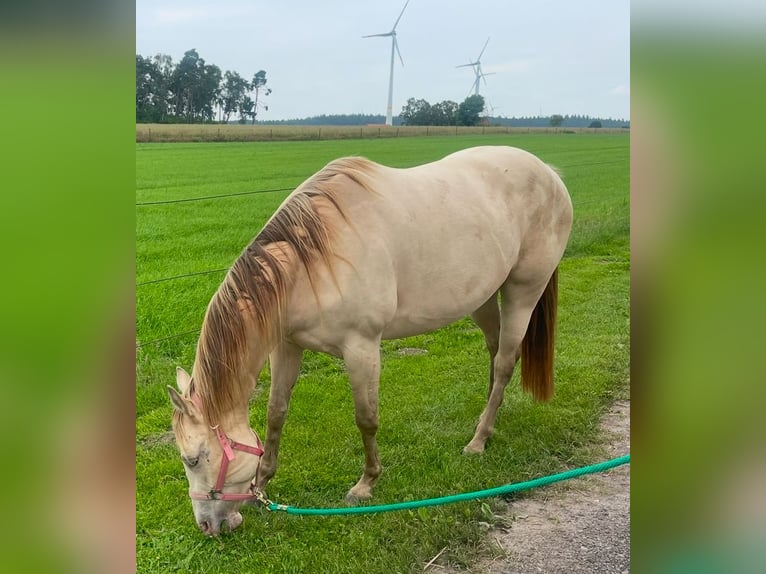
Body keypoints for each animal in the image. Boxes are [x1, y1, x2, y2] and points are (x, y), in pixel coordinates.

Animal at [167, 145, 573, 536]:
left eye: (193, 458)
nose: (207, 526)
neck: (312, 263)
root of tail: (550, 173)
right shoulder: (287, 347)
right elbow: (275, 414)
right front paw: (262, 485)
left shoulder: (361, 347)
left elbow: (366, 418)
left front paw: (366, 484)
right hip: (483, 298)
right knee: (495, 350)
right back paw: (488, 419)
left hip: (523, 290)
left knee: (505, 361)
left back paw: (479, 439)